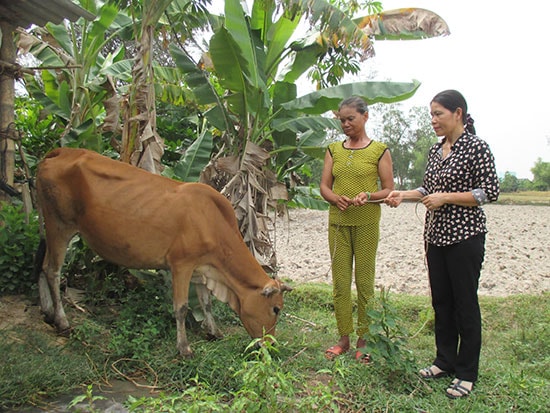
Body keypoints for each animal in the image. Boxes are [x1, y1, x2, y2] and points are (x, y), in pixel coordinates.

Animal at [34, 147, 294, 354]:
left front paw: (213, 331)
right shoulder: (181, 264)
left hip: (48, 224)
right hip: (60, 225)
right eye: (276, 309)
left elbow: (206, 302)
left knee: (40, 264)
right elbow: (182, 307)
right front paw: (184, 348)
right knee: (53, 270)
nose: (270, 344)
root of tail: (61, 152)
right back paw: (62, 321)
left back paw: (47, 311)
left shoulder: (202, 267)